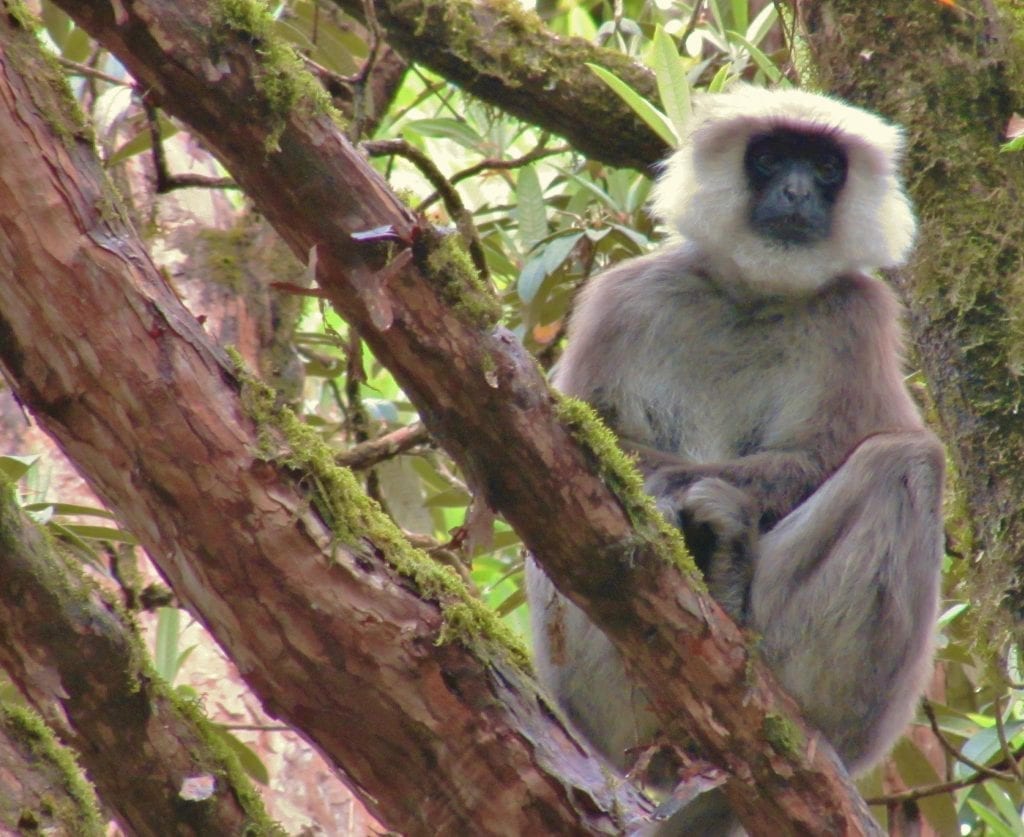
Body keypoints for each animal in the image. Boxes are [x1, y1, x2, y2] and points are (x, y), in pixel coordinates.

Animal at [526, 84, 945, 835]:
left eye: (825, 167)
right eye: (771, 158)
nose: (797, 191)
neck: (753, 298)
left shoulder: (858, 312)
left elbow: (835, 451)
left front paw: (705, 502)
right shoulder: (625, 298)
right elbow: (580, 436)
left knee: (909, 461)